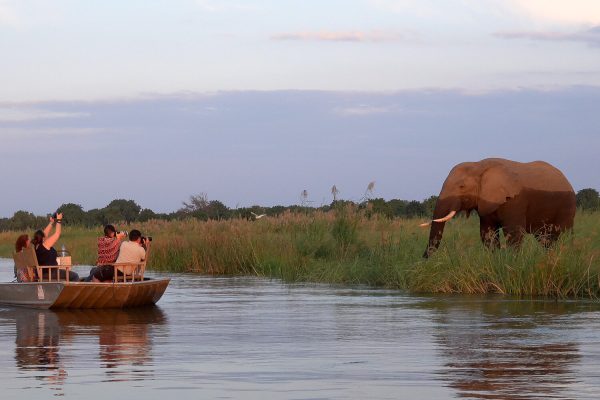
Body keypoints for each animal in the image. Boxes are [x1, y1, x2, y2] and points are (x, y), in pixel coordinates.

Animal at [422, 158, 576, 258]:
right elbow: (487, 233)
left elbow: (513, 233)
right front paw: (495, 260)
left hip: (567, 205)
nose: (423, 257)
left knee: (561, 234)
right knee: (545, 238)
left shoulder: (515, 201)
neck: (479, 165)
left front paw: (512, 262)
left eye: (462, 186)